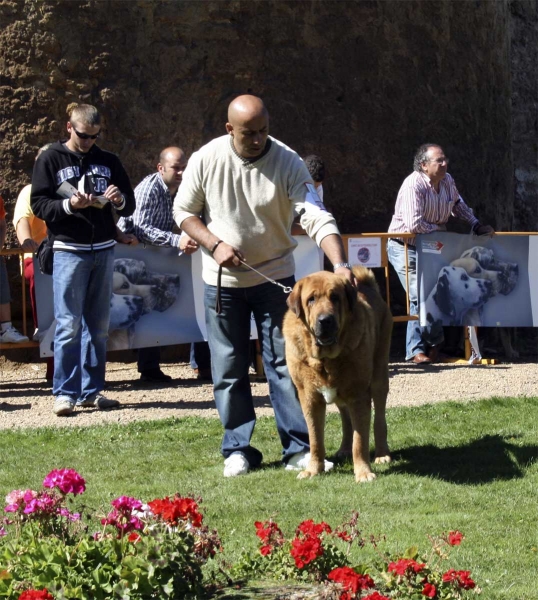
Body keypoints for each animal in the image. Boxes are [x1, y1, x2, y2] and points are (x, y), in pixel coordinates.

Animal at [282, 268, 392, 482]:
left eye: (335, 297)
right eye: (311, 299)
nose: (325, 320)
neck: (325, 359)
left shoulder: (359, 394)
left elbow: (360, 439)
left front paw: (363, 472)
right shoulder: (309, 398)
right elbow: (315, 438)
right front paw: (313, 470)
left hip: (379, 376)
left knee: (379, 419)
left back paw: (382, 454)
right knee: (345, 417)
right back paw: (344, 449)